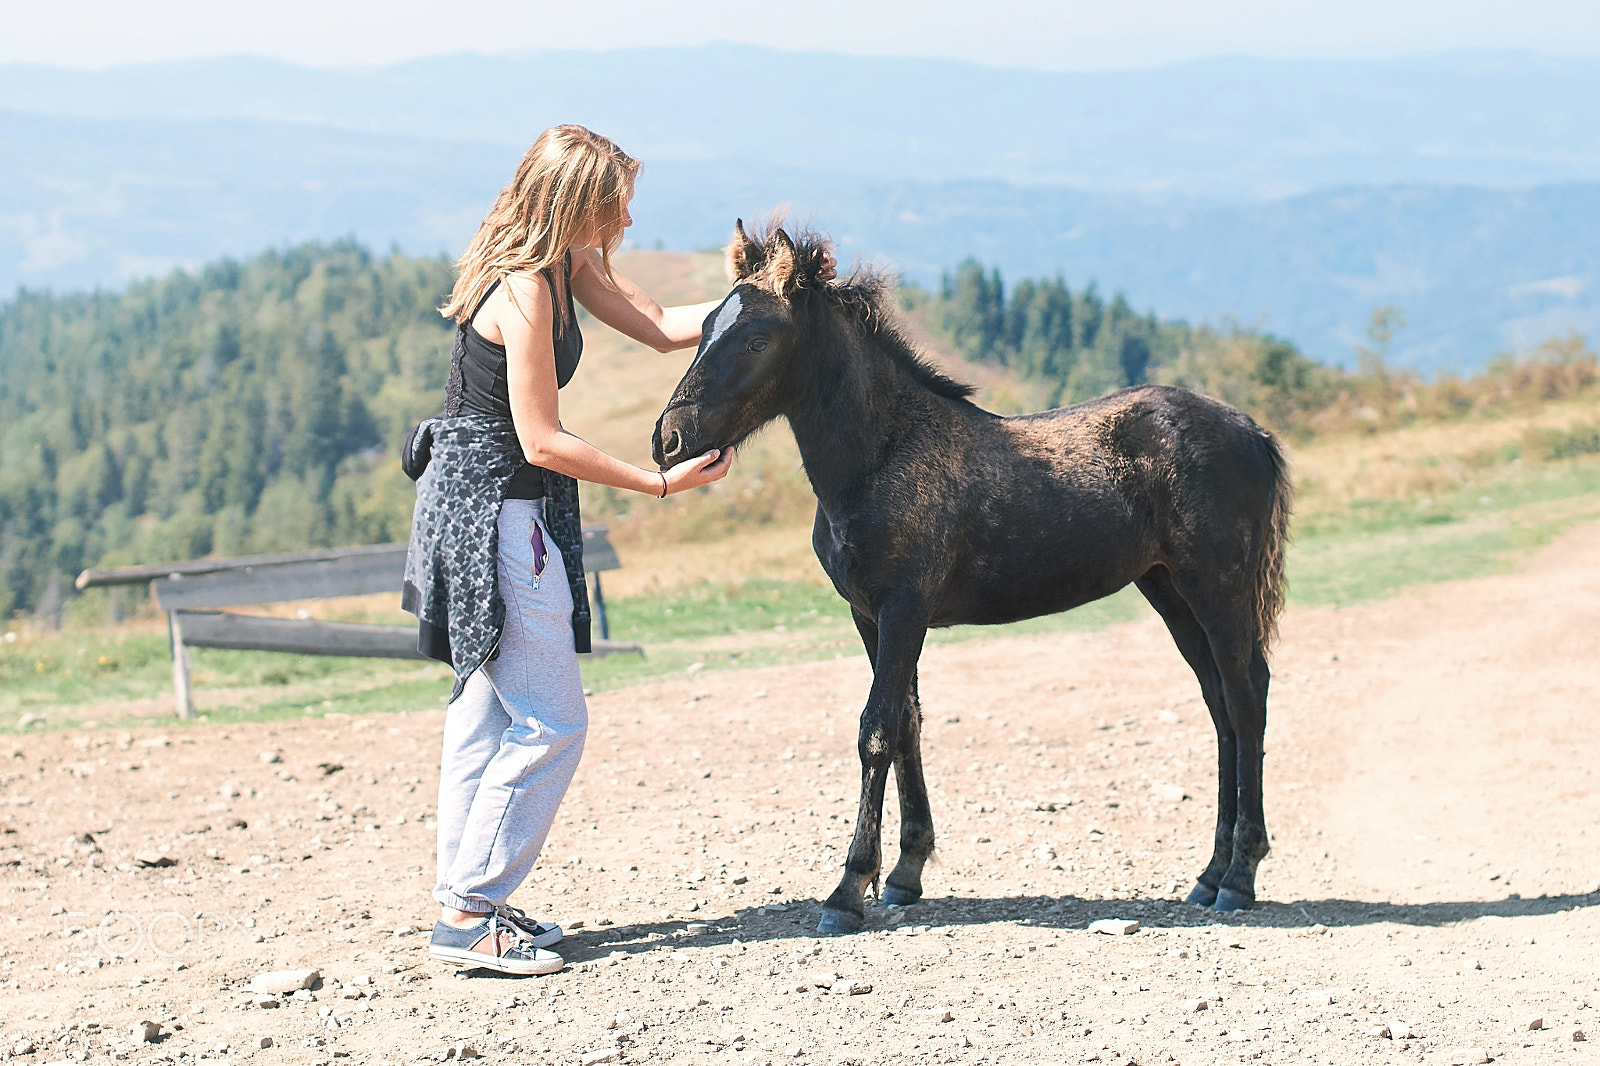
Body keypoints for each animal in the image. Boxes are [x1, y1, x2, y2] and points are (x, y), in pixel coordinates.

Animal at [656, 222, 1292, 928]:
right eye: (704, 326)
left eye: (757, 339)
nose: (669, 439)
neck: (883, 454)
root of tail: (1252, 431)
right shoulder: (869, 614)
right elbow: (906, 722)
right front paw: (904, 874)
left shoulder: (905, 606)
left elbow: (876, 729)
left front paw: (848, 890)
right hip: (1170, 592)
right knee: (1220, 705)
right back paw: (1207, 876)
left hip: (1219, 587)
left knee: (1247, 697)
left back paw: (1239, 878)